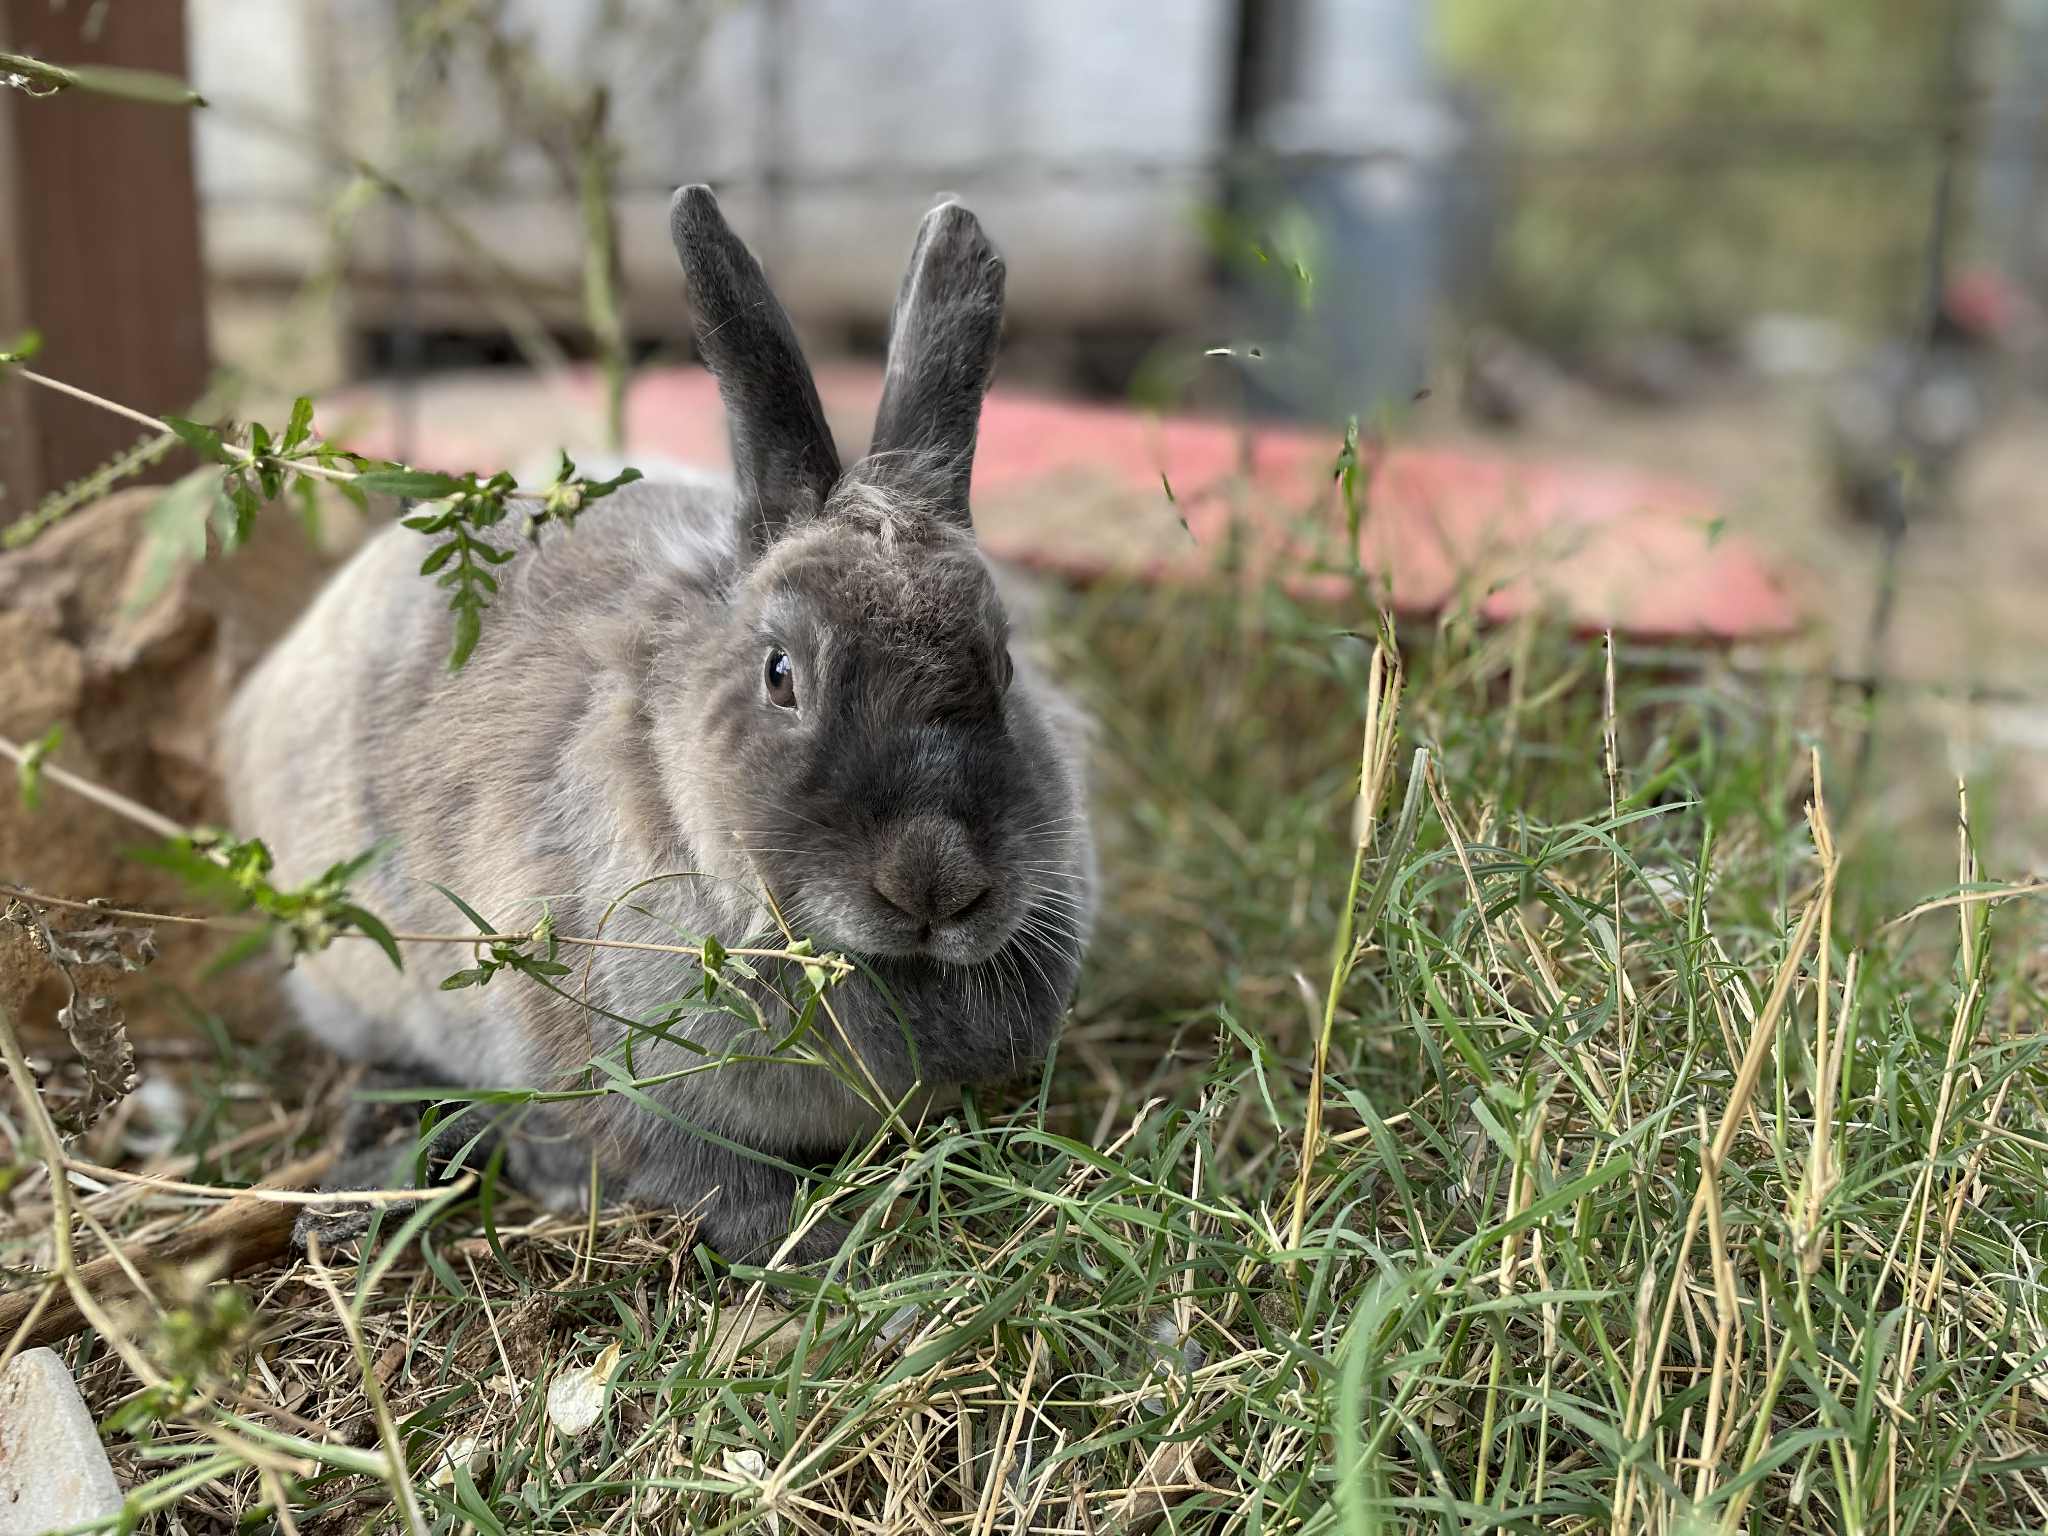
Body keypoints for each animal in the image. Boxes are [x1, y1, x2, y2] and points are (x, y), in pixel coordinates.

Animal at [220, 186, 1097, 1266]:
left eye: (1004, 666)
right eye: (779, 676)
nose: (933, 880)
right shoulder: (599, 1068)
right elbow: (688, 1169)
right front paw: (804, 1238)